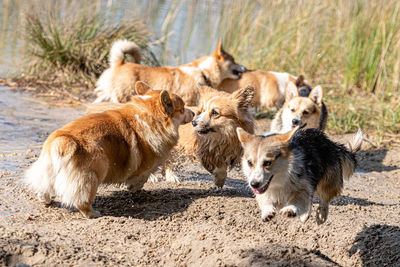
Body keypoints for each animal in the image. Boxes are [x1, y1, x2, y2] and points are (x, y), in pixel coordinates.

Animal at [25, 82, 194, 220]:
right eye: (182, 108)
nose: (193, 113)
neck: (150, 115)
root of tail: (62, 141)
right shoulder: (146, 164)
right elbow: (143, 177)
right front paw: (134, 187)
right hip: (93, 175)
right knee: (81, 200)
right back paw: (93, 214)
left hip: (47, 171)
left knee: (44, 188)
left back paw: (46, 200)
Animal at [95, 38, 245, 105]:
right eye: (234, 60)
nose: (246, 68)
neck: (202, 71)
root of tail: (120, 62)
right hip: (122, 96)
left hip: (105, 95)